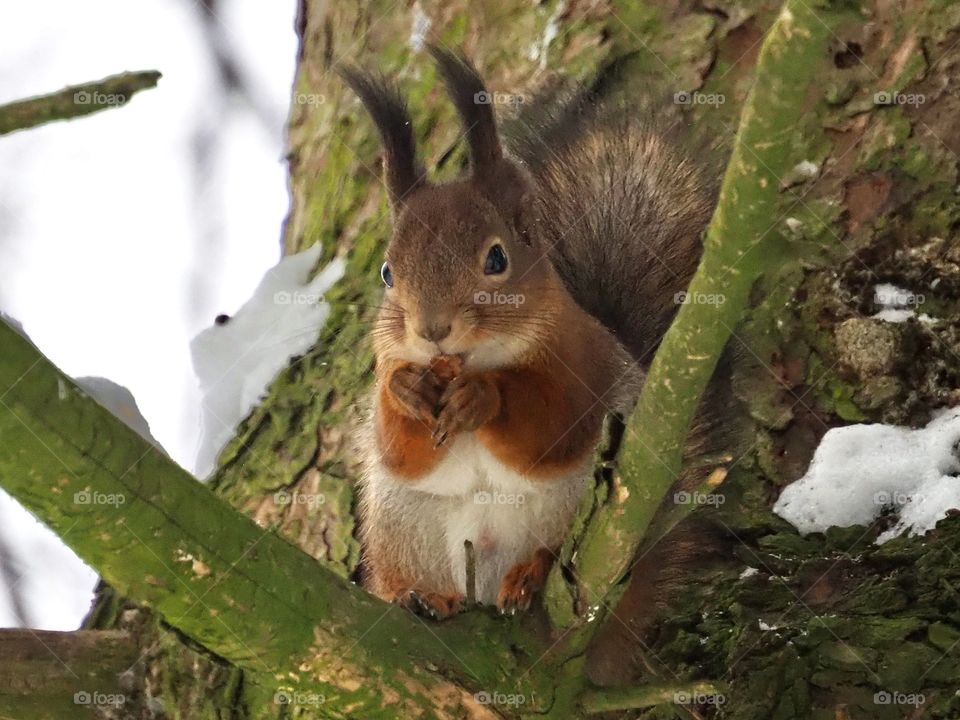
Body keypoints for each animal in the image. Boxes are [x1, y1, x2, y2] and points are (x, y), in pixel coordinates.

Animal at [341, 47, 717, 620]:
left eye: (497, 259)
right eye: (387, 272)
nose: (432, 330)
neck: (474, 358)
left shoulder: (580, 360)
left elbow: (553, 427)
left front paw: (484, 396)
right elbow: (396, 449)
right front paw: (407, 389)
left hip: (575, 511)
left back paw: (529, 575)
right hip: (403, 527)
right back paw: (422, 596)